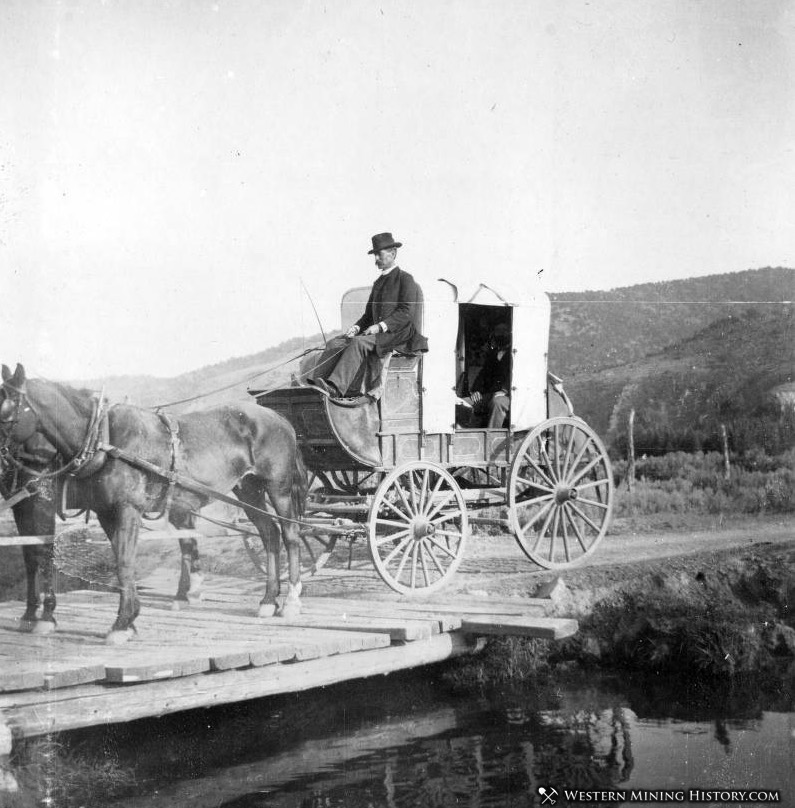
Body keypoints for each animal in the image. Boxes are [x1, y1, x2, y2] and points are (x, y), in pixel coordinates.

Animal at [0, 362, 308, 648]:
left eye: (6, 413)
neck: (104, 439)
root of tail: (279, 417)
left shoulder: (119, 508)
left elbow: (117, 561)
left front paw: (118, 623)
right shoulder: (104, 512)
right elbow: (52, 557)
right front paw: (128, 619)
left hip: (277, 488)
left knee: (290, 534)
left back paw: (291, 600)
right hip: (248, 490)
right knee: (269, 534)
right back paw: (267, 599)